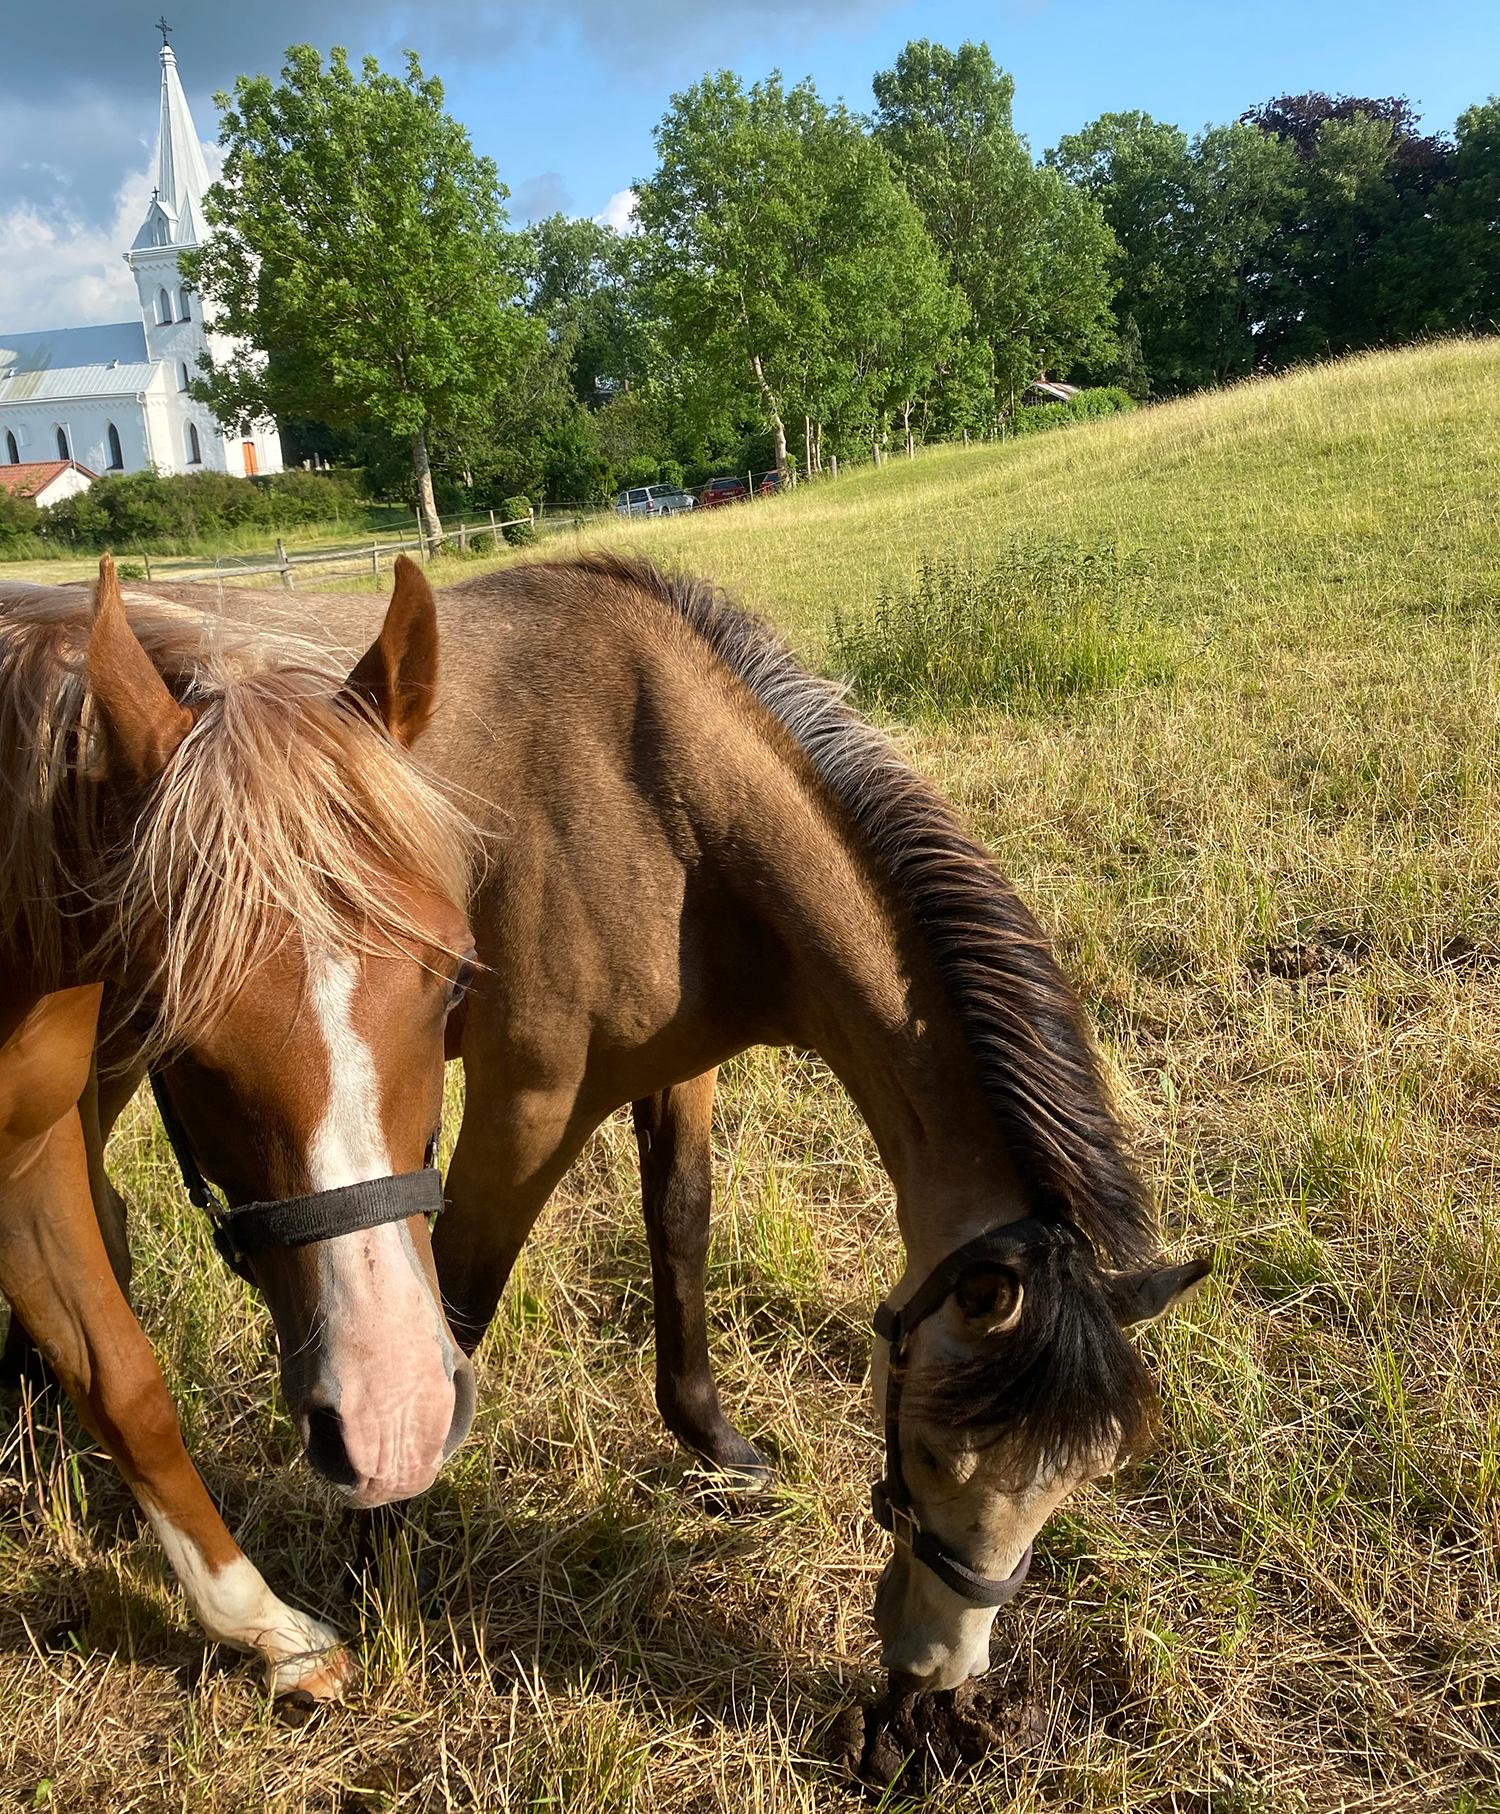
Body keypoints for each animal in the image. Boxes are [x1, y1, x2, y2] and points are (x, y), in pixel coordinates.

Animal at [0, 555, 478, 1697]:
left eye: (454, 978)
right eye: (174, 1021)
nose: (393, 1422)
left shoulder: (31, 1152)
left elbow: (120, 1376)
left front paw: (264, 1629)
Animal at [93, 555, 1211, 1697]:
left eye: (1084, 1474)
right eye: (937, 1448)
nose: (938, 1671)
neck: (660, 796)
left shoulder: (679, 1071)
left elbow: (680, 1226)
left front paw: (713, 1442)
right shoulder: (528, 1106)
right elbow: (459, 1301)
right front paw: (381, 1536)